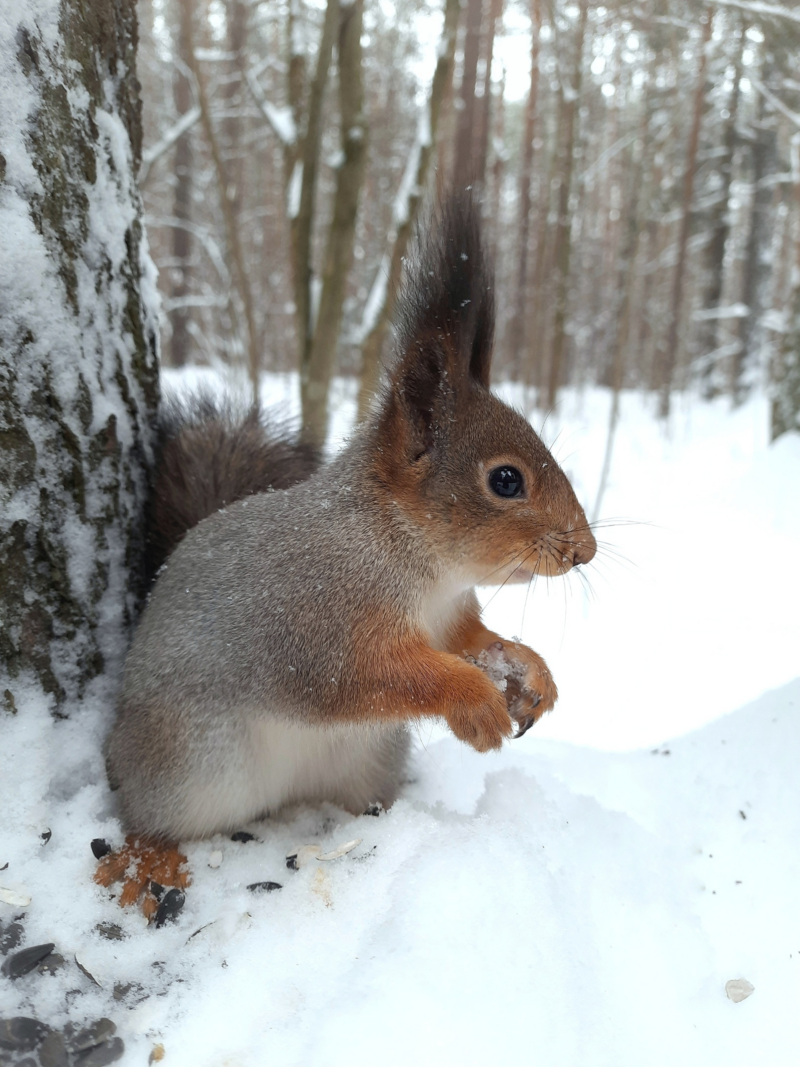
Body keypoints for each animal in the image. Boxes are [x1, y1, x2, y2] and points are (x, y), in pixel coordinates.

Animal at [103, 194, 597, 857]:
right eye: (506, 480)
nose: (585, 551)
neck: (419, 559)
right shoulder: (321, 627)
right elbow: (377, 676)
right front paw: (474, 699)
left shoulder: (448, 617)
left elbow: (471, 642)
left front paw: (527, 666)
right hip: (177, 768)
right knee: (145, 824)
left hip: (367, 762)